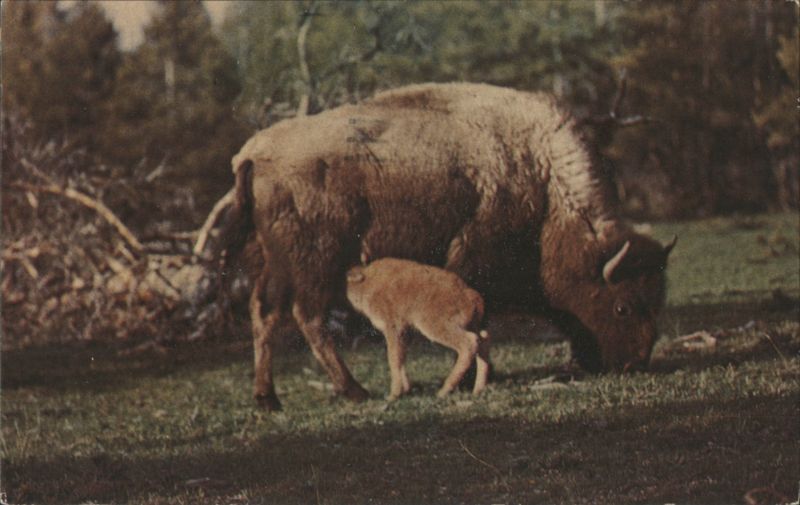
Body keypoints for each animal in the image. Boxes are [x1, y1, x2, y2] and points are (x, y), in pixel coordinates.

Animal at [346, 258, 491, 400]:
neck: (369, 281)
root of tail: (473, 297)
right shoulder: (407, 330)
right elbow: (401, 357)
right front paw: (406, 389)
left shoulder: (393, 327)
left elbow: (393, 357)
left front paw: (394, 394)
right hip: (472, 325)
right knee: (483, 339)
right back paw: (478, 389)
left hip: (435, 326)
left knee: (469, 342)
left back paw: (444, 391)